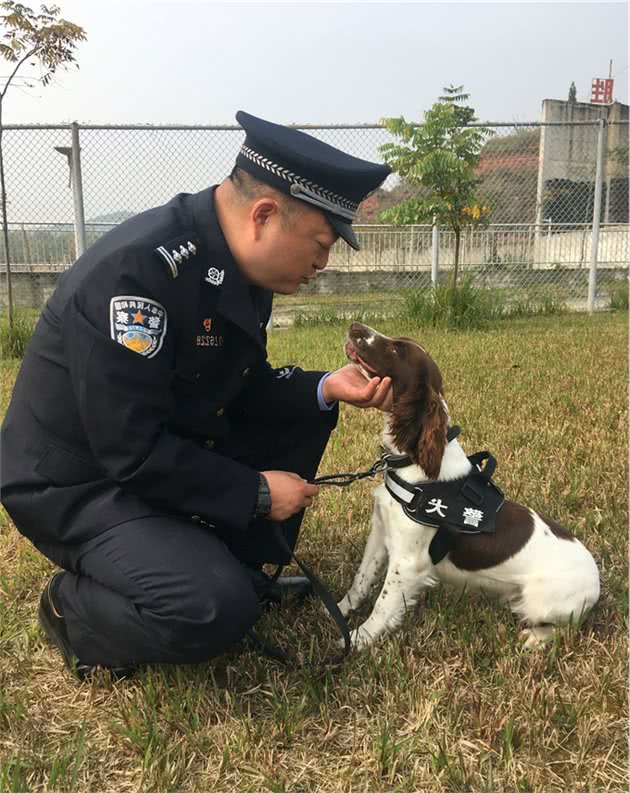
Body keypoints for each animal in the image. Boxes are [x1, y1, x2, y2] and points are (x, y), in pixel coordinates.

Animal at [338, 322, 600, 648]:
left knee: (570, 628)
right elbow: (360, 581)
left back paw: (534, 639)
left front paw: (357, 639)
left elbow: (383, 604)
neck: (413, 461)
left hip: (542, 602)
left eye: (397, 349)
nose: (355, 326)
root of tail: (597, 584)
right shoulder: (380, 533)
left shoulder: (409, 562)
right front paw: (337, 612)